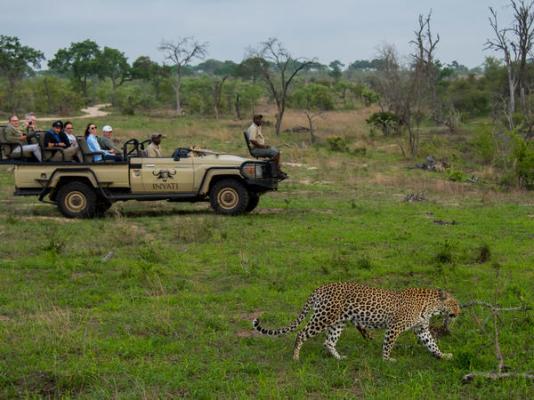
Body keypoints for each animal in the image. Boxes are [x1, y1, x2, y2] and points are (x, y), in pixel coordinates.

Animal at [253, 282, 462, 362]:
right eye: (454, 304)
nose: (460, 312)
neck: (431, 306)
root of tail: (319, 288)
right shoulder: (394, 327)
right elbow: (388, 345)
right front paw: (387, 360)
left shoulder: (422, 329)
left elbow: (432, 344)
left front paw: (443, 356)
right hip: (323, 317)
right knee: (301, 333)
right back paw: (296, 357)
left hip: (338, 323)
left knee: (328, 341)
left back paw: (339, 358)